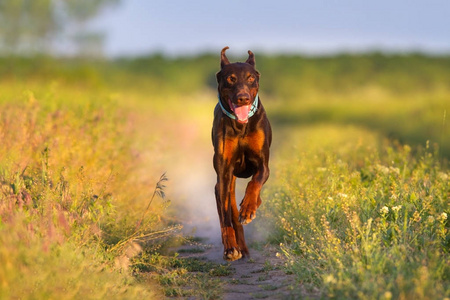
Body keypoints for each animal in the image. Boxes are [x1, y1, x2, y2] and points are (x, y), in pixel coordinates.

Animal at [213, 46, 272, 260]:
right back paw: (238, 247)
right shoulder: (223, 175)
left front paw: (248, 208)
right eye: (231, 79)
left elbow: (254, 183)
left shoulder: (263, 164)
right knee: (230, 213)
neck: (241, 126)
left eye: (250, 78)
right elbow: (225, 218)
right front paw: (230, 248)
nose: (243, 98)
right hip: (227, 183)